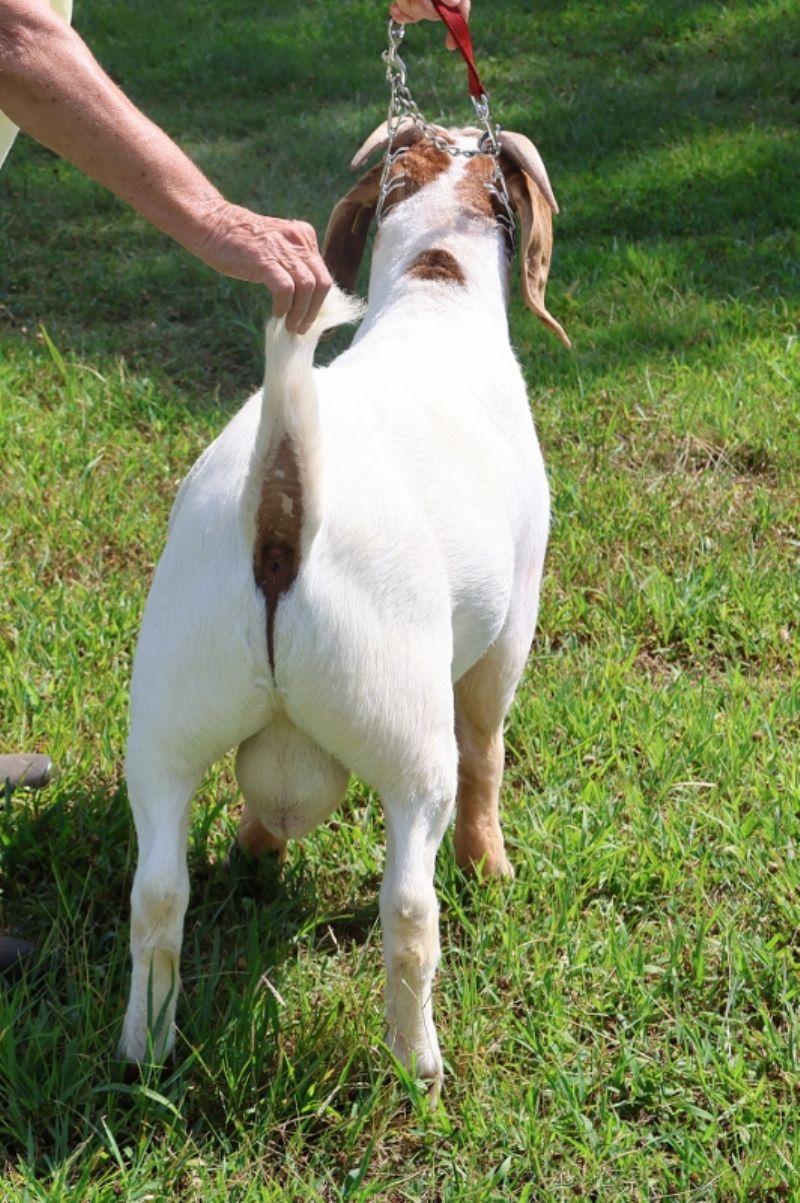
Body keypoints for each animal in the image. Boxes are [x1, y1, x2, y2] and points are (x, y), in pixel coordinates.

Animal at [118, 120, 568, 1085]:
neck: (436, 297)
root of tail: (283, 497)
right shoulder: (510, 623)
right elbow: (489, 748)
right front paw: (492, 866)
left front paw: (256, 849)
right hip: (406, 734)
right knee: (408, 905)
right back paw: (418, 1063)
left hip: (168, 713)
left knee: (158, 895)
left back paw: (147, 1046)